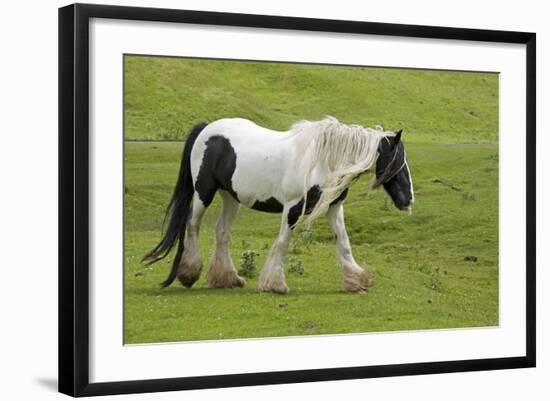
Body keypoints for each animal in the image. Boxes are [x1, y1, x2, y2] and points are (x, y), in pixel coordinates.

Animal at [143, 116, 414, 294]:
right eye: (396, 160)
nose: (408, 200)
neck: (322, 161)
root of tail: (206, 129)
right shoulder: (292, 208)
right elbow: (283, 243)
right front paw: (274, 284)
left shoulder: (333, 208)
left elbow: (344, 242)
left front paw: (357, 280)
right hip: (204, 193)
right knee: (193, 225)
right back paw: (190, 273)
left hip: (231, 197)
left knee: (222, 232)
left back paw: (226, 278)